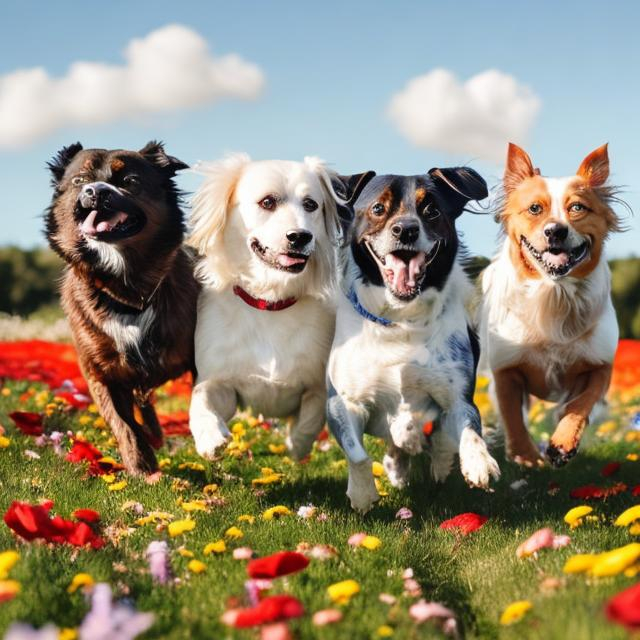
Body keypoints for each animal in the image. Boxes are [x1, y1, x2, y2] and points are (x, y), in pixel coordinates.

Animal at [46, 142, 200, 472]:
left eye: (129, 181)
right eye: (79, 180)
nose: (94, 191)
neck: (126, 289)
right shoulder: (100, 372)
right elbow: (123, 424)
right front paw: (142, 465)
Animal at [188, 155, 348, 460]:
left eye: (311, 204)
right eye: (267, 202)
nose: (300, 236)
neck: (271, 304)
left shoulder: (318, 386)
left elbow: (311, 418)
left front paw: (296, 446)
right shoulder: (221, 383)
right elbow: (200, 400)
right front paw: (210, 438)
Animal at [330, 168, 500, 512]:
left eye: (431, 209)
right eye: (378, 208)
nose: (406, 229)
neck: (401, 319)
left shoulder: (458, 396)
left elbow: (468, 427)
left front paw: (478, 462)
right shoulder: (342, 401)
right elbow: (357, 453)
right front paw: (363, 494)